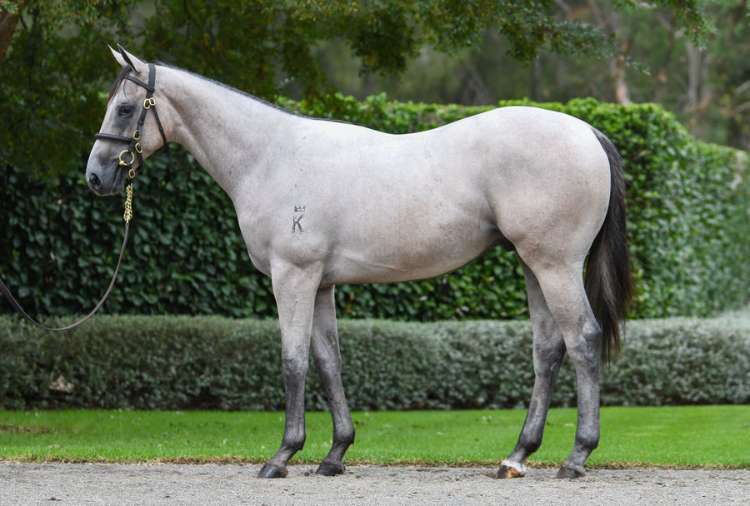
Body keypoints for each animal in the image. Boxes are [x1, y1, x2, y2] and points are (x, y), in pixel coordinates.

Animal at [87, 46, 631, 480]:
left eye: (126, 107)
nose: (95, 176)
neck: (271, 156)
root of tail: (587, 132)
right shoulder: (321, 284)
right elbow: (329, 363)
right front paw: (335, 454)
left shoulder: (293, 278)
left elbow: (293, 362)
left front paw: (282, 456)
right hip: (532, 265)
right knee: (548, 350)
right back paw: (516, 457)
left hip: (556, 265)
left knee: (583, 340)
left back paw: (576, 458)